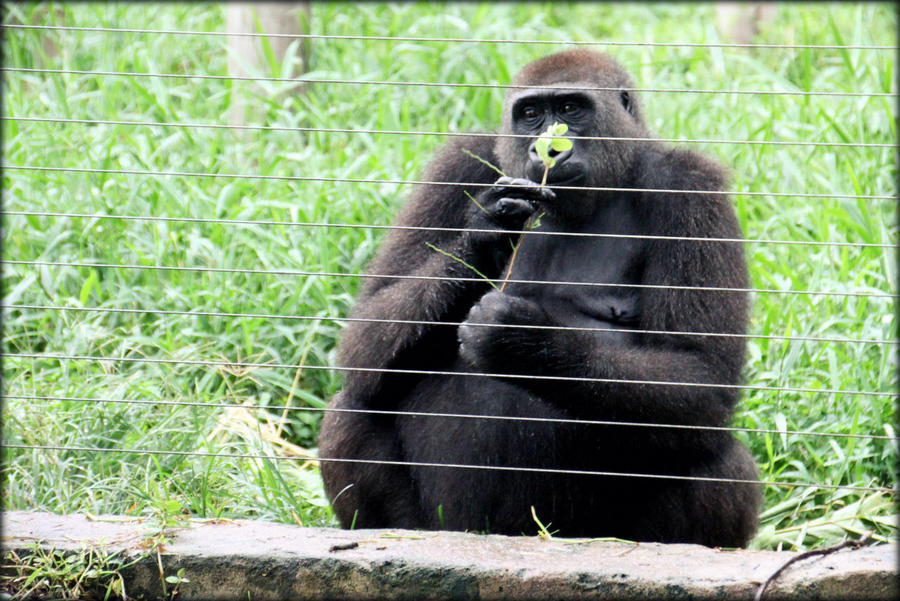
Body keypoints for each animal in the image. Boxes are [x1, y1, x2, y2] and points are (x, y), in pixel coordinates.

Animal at [316, 50, 760, 548]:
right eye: (530, 114)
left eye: (569, 109)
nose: (549, 149)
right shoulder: (457, 164)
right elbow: (366, 333)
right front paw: (484, 237)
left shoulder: (692, 187)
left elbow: (700, 373)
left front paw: (524, 343)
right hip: (447, 525)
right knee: (354, 405)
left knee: (714, 457)